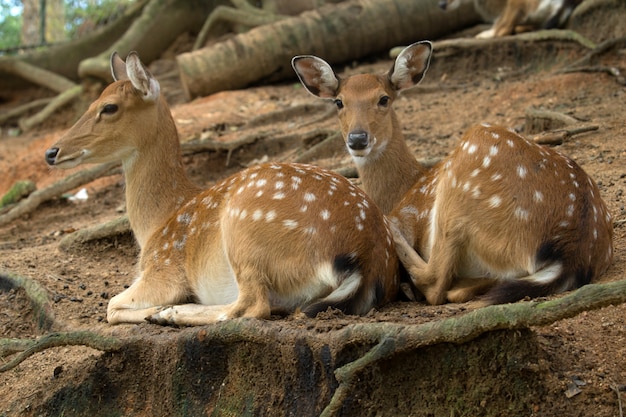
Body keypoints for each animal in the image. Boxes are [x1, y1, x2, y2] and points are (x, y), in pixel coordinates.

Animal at [44, 52, 398, 324]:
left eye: (109, 107)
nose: (51, 152)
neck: (156, 223)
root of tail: (366, 259)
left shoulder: (164, 270)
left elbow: (111, 305)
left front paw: (159, 309)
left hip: (244, 230)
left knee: (252, 305)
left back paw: (170, 313)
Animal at [292, 40, 608, 304]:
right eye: (339, 102)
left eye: (383, 99)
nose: (358, 139)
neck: (405, 186)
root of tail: (573, 250)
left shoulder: (411, 214)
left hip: (465, 180)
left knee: (435, 282)